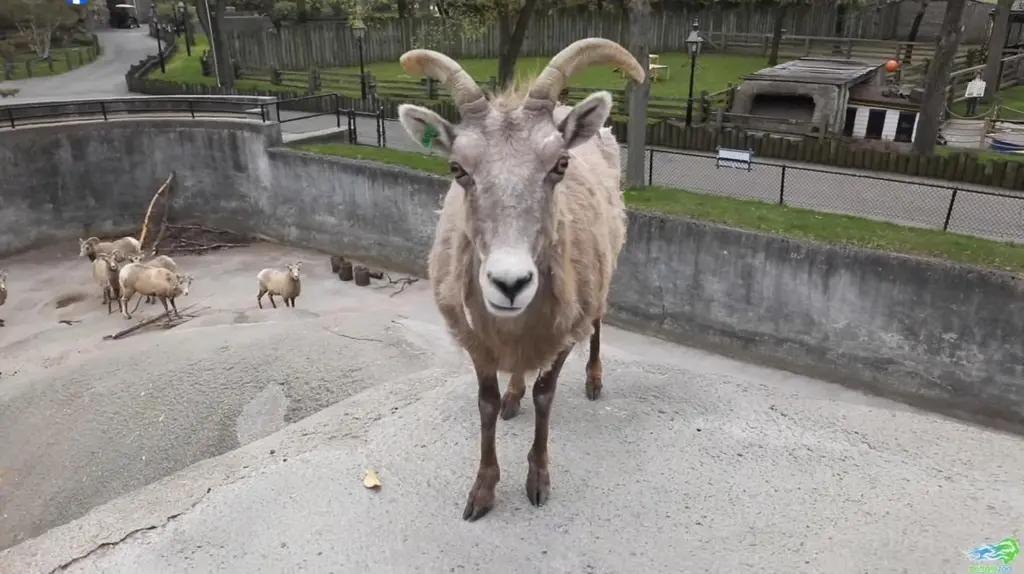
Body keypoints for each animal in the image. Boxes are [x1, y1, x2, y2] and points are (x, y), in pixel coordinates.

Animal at [395, 38, 644, 521]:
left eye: (560, 163)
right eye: (457, 169)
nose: (509, 283)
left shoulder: (563, 330)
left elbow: (546, 395)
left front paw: (537, 481)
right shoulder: (476, 337)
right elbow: (486, 403)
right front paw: (482, 492)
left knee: (598, 322)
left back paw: (594, 381)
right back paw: (514, 395)